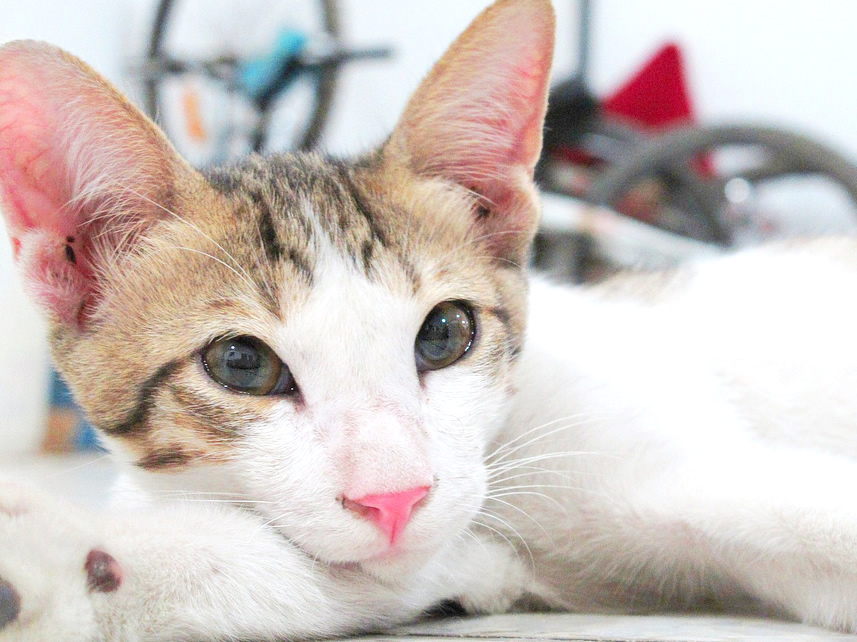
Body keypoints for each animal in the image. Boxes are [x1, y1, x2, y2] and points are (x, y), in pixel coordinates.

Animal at [0, 1, 856, 636]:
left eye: (444, 334)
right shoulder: (443, 561)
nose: (395, 498)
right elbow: (285, 573)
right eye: (241, 364)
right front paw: (70, 565)